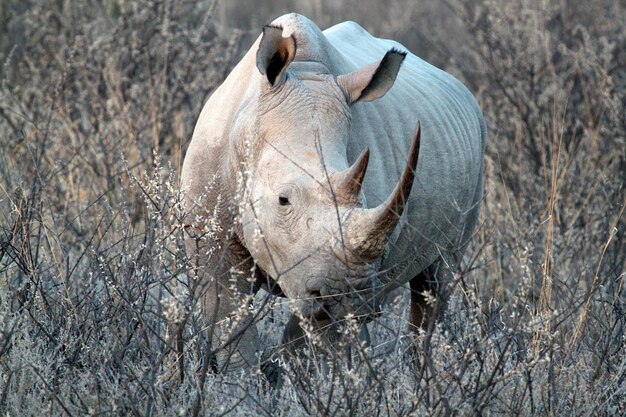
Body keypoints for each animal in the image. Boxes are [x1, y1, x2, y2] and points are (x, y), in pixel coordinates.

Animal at [178, 13, 486, 370]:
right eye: (283, 200)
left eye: (364, 200)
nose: (347, 296)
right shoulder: (208, 236)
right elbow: (230, 325)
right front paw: (245, 381)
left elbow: (311, 339)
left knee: (434, 283)